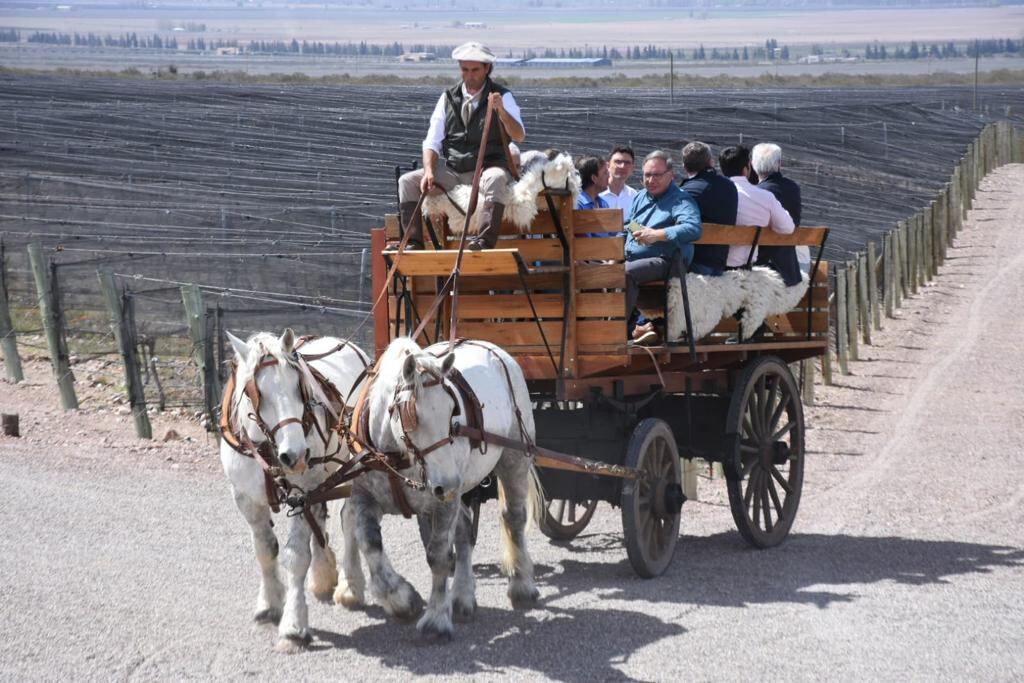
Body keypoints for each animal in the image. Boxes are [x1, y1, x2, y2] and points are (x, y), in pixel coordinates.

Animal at [220, 327, 372, 655]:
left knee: (349, 518)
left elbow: (296, 556)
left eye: (298, 387)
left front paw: (293, 625)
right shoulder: (246, 499)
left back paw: (350, 586)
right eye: (256, 393)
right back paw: (324, 573)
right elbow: (265, 551)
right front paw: (268, 605)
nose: (296, 454)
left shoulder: (302, 494)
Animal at [333, 335, 544, 643]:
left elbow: (439, 556)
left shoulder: (444, 501)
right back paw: (463, 597)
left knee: (513, 519)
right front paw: (401, 599)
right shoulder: (365, 494)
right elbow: (370, 544)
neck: (396, 454)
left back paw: (522, 586)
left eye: (452, 412)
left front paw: (435, 619)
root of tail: (493, 348)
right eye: (413, 416)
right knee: (465, 529)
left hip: (512, 458)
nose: (450, 483)